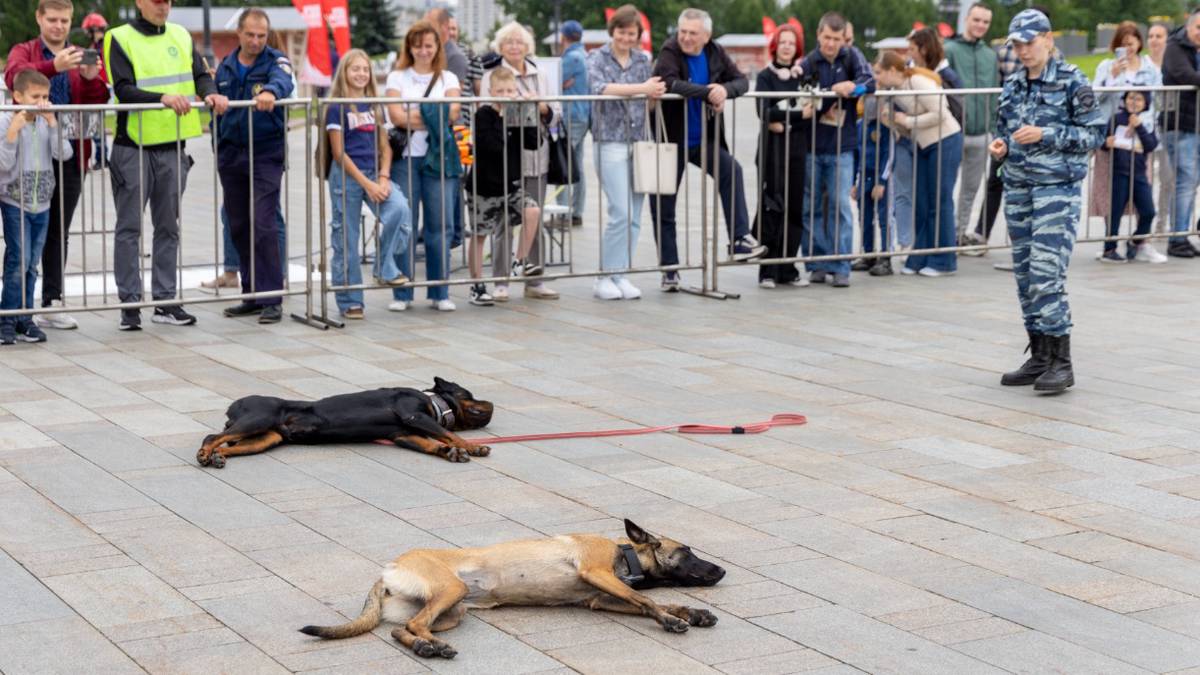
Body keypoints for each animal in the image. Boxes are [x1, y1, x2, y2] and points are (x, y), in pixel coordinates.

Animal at [195, 379, 492, 468]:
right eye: (470, 394)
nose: (491, 403)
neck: (435, 405)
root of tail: (233, 406)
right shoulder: (414, 416)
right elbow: (447, 434)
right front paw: (473, 447)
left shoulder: (404, 434)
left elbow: (432, 443)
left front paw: (450, 452)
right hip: (258, 417)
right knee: (212, 437)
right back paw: (205, 454)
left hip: (267, 438)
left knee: (228, 445)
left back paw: (218, 457)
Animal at [300, 516, 729, 653]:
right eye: (687, 550)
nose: (722, 571)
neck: (623, 556)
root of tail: (386, 571)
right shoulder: (596, 572)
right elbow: (648, 603)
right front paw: (671, 620)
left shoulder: (599, 598)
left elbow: (646, 602)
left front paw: (691, 612)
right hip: (451, 592)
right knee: (415, 625)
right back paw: (431, 646)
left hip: (451, 610)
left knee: (404, 628)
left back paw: (425, 647)